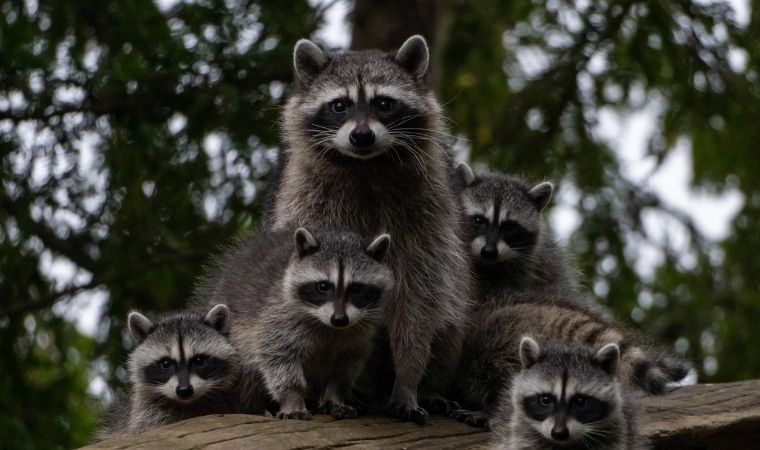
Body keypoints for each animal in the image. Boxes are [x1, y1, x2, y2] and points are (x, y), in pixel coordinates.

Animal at [197, 229, 392, 422]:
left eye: (356, 288)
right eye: (323, 286)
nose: (339, 319)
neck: (326, 325)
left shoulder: (358, 332)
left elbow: (345, 366)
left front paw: (335, 396)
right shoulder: (277, 315)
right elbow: (278, 356)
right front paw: (292, 398)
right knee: (246, 373)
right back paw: (256, 406)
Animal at [268, 34, 470, 422]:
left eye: (384, 103)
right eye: (339, 105)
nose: (362, 136)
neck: (366, 166)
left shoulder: (425, 220)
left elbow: (418, 298)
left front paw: (408, 379)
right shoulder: (310, 204)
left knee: (448, 318)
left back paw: (431, 388)